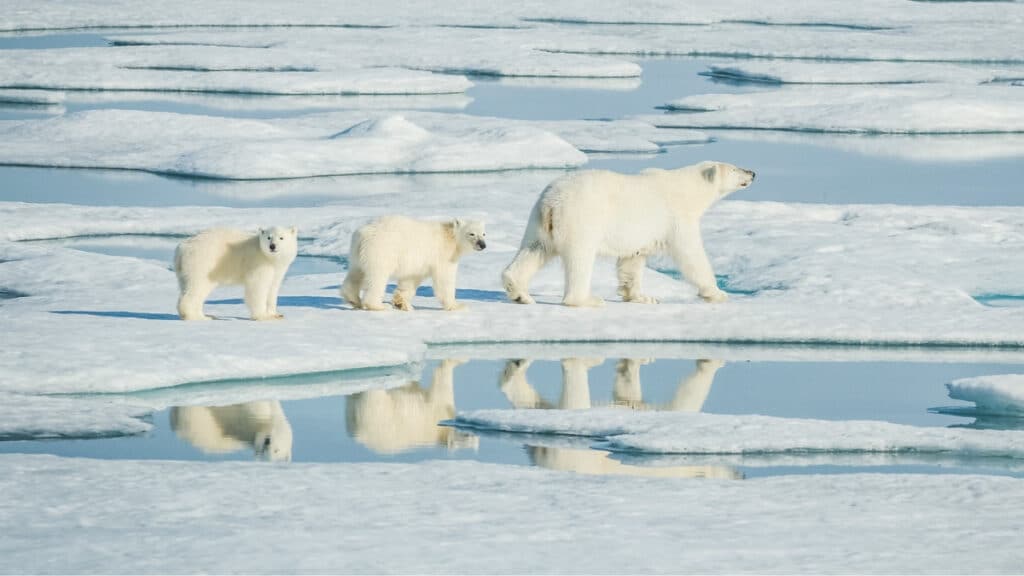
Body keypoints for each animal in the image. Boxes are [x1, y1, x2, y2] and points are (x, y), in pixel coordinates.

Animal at [340, 215, 486, 312]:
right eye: (472, 234)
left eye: (484, 233)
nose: (482, 245)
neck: (451, 237)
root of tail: (364, 233)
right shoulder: (444, 256)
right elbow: (445, 280)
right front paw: (457, 305)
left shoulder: (418, 264)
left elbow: (410, 280)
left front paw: (402, 303)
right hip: (382, 250)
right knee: (377, 277)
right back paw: (378, 305)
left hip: (357, 253)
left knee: (356, 273)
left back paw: (353, 299)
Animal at [502, 161, 755, 307]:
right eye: (735, 168)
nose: (753, 172)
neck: (687, 189)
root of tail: (552, 202)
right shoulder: (676, 218)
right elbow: (690, 254)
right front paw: (717, 293)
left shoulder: (641, 234)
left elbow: (632, 260)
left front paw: (642, 297)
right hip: (581, 218)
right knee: (580, 258)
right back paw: (587, 300)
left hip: (539, 221)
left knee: (534, 250)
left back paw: (520, 293)